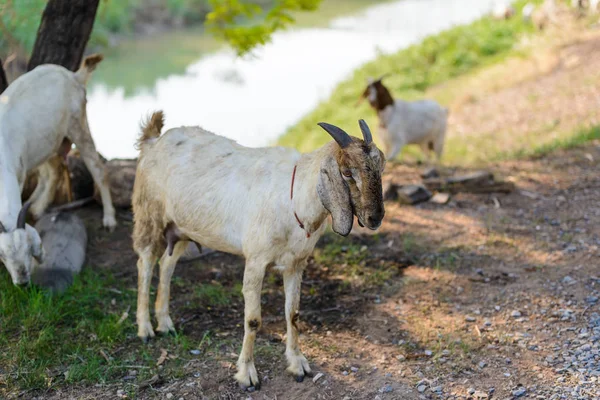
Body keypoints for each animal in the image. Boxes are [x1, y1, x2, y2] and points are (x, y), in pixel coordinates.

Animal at [0, 54, 116, 284]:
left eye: (28, 249)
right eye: (2, 255)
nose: (23, 282)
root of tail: (74, 76)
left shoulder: (17, 174)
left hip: (78, 124)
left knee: (97, 168)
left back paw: (109, 219)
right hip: (48, 142)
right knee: (52, 172)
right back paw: (37, 206)